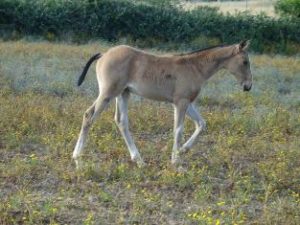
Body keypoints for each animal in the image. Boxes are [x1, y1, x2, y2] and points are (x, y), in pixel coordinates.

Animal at [73, 40, 253, 168]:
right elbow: (178, 130)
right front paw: (176, 161)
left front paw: (183, 150)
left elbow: (201, 123)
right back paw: (77, 159)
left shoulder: (187, 102)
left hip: (123, 94)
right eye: (245, 62)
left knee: (121, 122)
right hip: (108, 93)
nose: (248, 86)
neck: (194, 67)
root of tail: (103, 54)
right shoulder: (180, 102)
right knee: (89, 115)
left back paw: (139, 161)